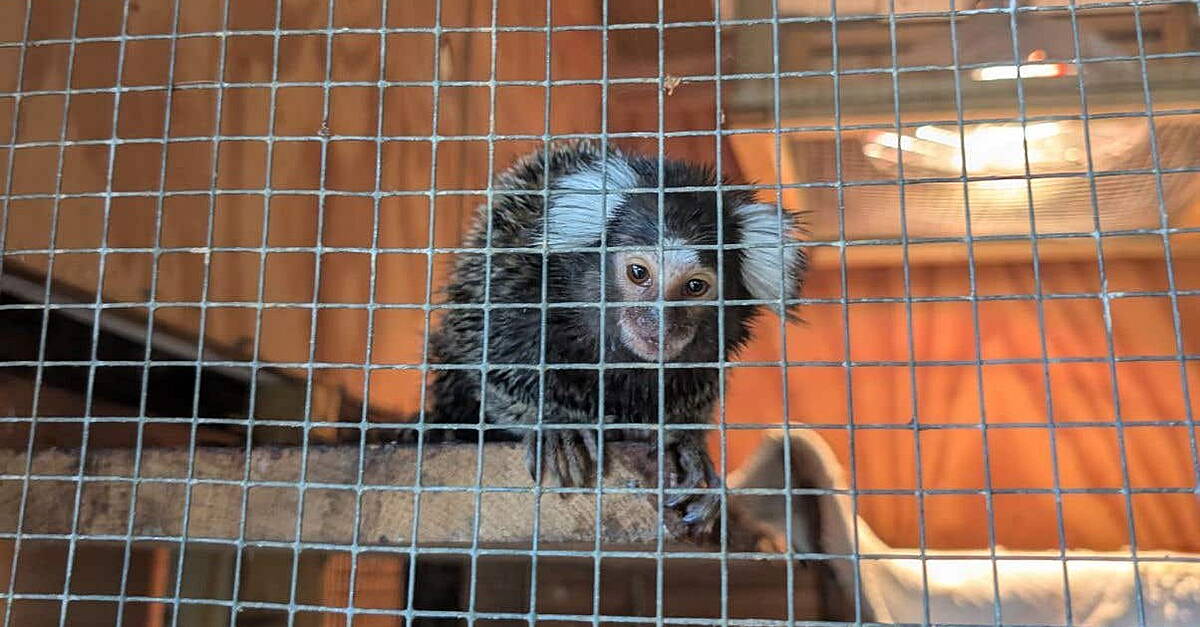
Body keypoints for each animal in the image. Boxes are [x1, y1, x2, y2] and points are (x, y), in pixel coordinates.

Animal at [424, 140, 806, 533]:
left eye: (695, 286)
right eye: (638, 272)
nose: (659, 323)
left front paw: (683, 444)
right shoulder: (511, 282)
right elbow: (494, 367)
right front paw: (554, 425)